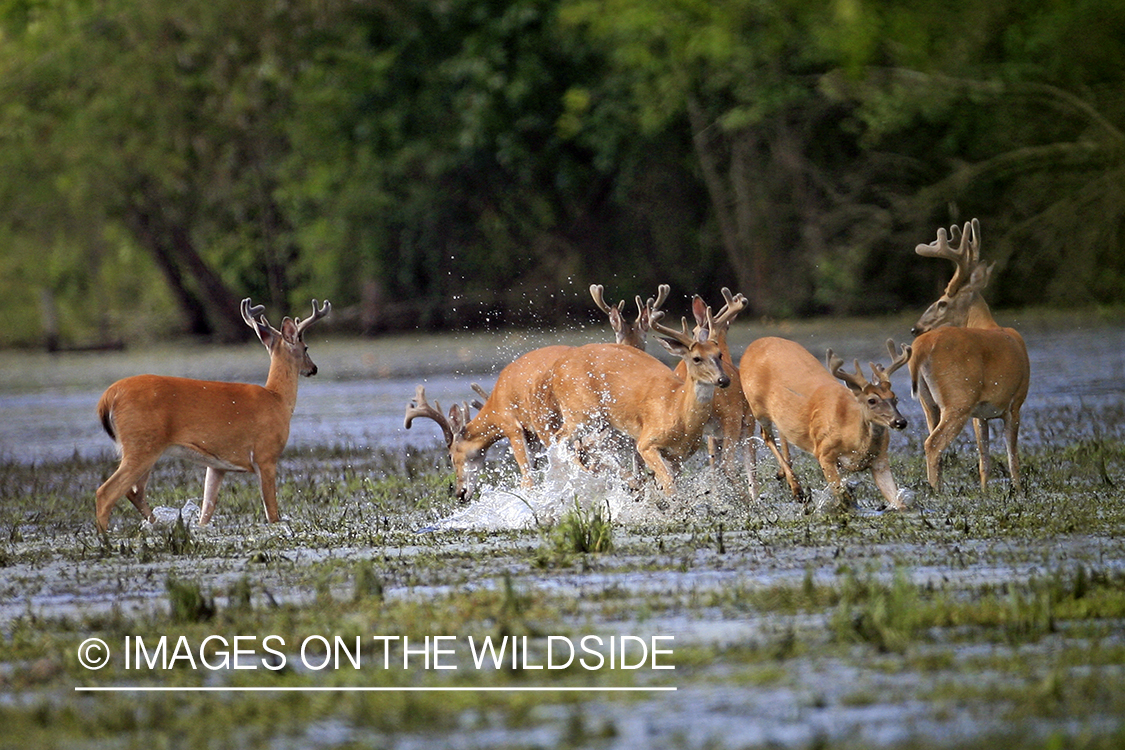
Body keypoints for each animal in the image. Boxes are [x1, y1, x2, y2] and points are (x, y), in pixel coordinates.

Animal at [93, 296, 328, 530]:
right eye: (306, 347)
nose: (314, 368)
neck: (277, 399)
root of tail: (109, 396)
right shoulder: (266, 455)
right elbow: (272, 513)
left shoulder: (216, 465)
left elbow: (207, 508)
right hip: (142, 444)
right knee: (106, 493)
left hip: (145, 448)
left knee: (135, 492)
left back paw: (160, 524)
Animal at [402, 346, 567, 503]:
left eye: (450, 456)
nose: (459, 494)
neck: (494, 407)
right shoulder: (531, 435)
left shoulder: (512, 427)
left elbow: (527, 478)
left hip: (545, 417)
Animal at [549, 308, 733, 494]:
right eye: (696, 358)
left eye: (719, 354)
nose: (723, 380)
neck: (677, 410)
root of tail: (558, 367)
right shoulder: (646, 441)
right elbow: (668, 482)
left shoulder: (680, 456)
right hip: (580, 412)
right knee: (559, 441)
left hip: (602, 423)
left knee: (583, 448)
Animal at [738, 339, 913, 510]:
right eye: (872, 400)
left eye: (895, 397)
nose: (900, 422)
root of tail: (751, 346)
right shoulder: (824, 451)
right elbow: (843, 497)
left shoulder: (880, 459)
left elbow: (900, 503)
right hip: (756, 405)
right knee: (766, 435)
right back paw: (797, 490)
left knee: (781, 430)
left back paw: (783, 474)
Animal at [904, 218, 1030, 492]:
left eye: (942, 302)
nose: (915, 328)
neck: (988, 324)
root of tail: (920, 347)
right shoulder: (1015, 402)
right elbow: (1013, 459)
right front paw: (1017, 492)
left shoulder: (979, 413)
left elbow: (985, 462)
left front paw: (984, 493)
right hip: (958, 397)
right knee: (933, 444)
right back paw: (936, 493)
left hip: (929, 403)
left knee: (933, 440)